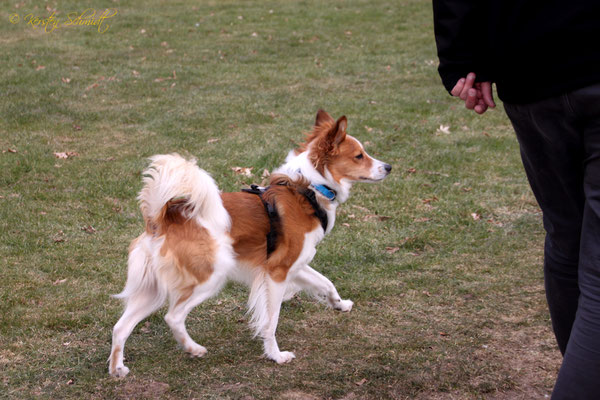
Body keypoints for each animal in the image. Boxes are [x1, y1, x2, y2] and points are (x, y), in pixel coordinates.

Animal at [108, 110, 392, 378]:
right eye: (359, 156)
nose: (388, 167)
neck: (309, 189)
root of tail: (163, 217)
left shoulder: (295, 265)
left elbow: (327, 283)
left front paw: (340, 304)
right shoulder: (277, 272)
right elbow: (271, 320)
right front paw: (275, 355)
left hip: (152, 290)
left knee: (120, 327)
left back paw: (117, 369)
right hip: (211, 277)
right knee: (173, 316)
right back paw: (193, 348)